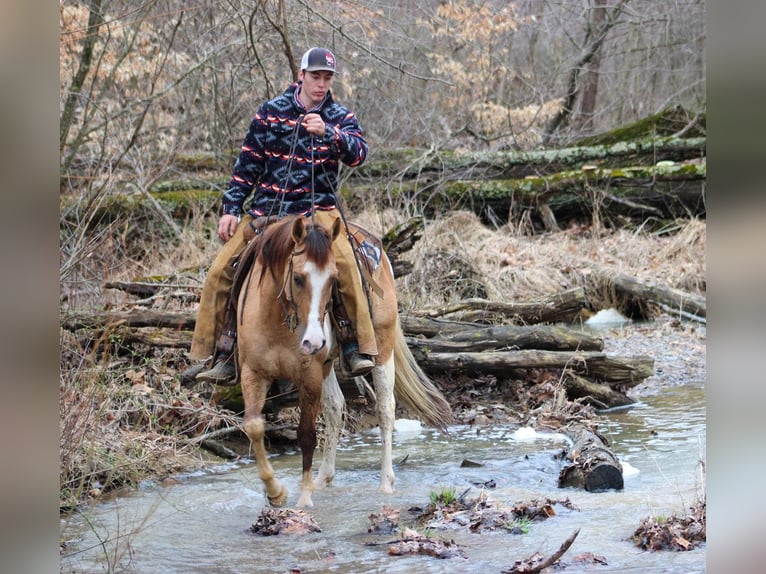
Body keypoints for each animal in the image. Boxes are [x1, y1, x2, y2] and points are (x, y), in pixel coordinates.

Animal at [238, 215, 456, 508]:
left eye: (333, 279)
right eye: (297, 278)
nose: (314, 341)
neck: (277, 322)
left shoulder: (310, 374)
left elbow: (306, 434)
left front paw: (304, 498)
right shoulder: (252, 372)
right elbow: (253, 427)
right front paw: (276, 492)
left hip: (380, 349)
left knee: (386, 410)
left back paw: (385, 483)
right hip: (327, 365)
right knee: (335, 407)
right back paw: (323, 479)